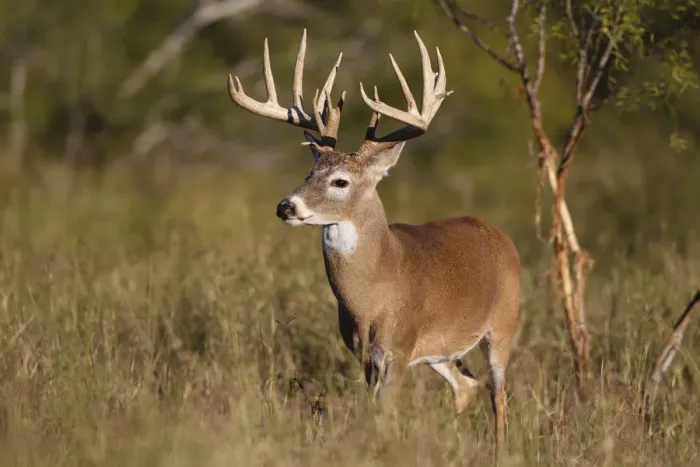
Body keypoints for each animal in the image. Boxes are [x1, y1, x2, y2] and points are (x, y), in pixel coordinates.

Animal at [227, 29, 521, 451]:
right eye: (309, 172)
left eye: (340, 181)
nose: (285, 206)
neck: (375, 290)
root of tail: (499, 235)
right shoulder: (363, 353)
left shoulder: (398, 346)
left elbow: (386, 413)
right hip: (441, 349)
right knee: (466, 384)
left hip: (502, 324)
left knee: (498, 393)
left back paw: (500, 449)